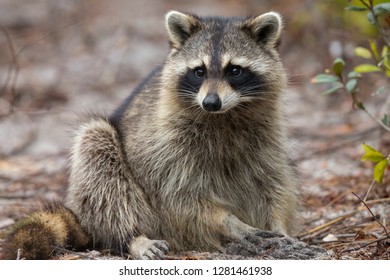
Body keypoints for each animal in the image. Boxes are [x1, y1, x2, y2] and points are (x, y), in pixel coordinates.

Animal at [3, 10, 298, 260]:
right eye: (199, 71)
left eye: (234, 70)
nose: (211, 102)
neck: (224, 116)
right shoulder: (167, 148)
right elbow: (179, 196)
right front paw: (230, 222)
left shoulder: (267, 134)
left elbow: (274, 180)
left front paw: (279, 224)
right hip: (106, 174)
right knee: (99, 160)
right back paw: (132, 237)